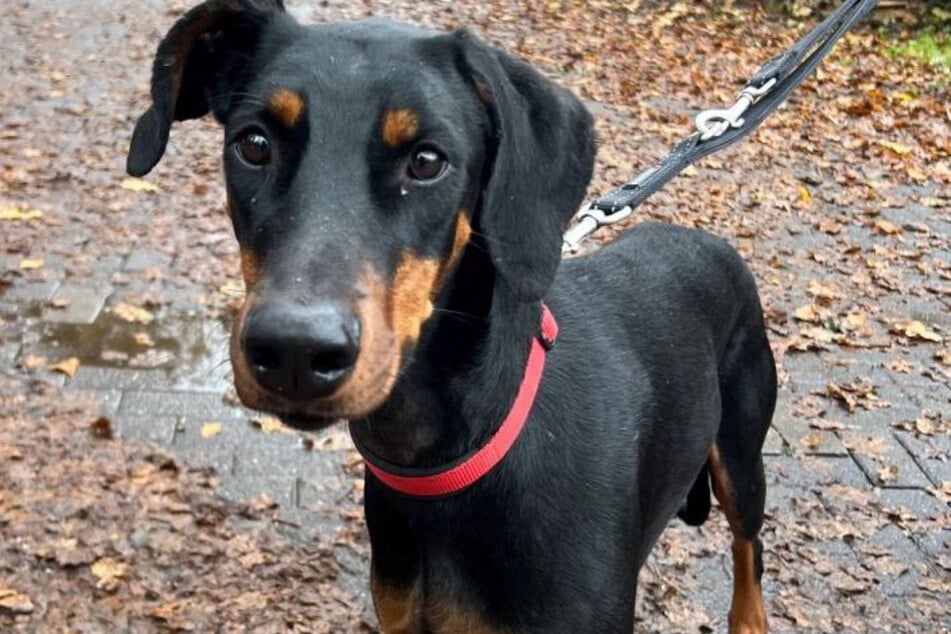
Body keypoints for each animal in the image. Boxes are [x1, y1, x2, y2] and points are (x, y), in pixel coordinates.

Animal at [130, 2, 776, 628]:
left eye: (426, 161)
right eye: (254, 144)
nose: (294, 350)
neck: (441, 463)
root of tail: (708, 241)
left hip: (743, 456)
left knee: (749, 552)